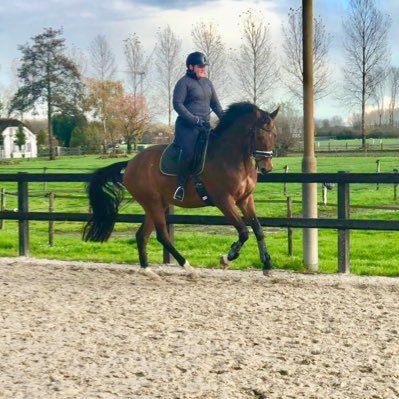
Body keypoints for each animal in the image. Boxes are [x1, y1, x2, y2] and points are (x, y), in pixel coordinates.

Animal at [83, 100, 280, 282]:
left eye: (274, 135)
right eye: (259, 134)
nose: (267, 168)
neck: (234, 158)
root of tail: (131, 162)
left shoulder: (245, 199)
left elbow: (258, 229)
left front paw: (267, 266)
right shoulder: (224, 201)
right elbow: (244, 231)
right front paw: (226, 259)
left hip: (157, 205)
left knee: (142, 235)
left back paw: (148, 270)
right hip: (153, 203)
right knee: (162, 236)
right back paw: (188, 268)